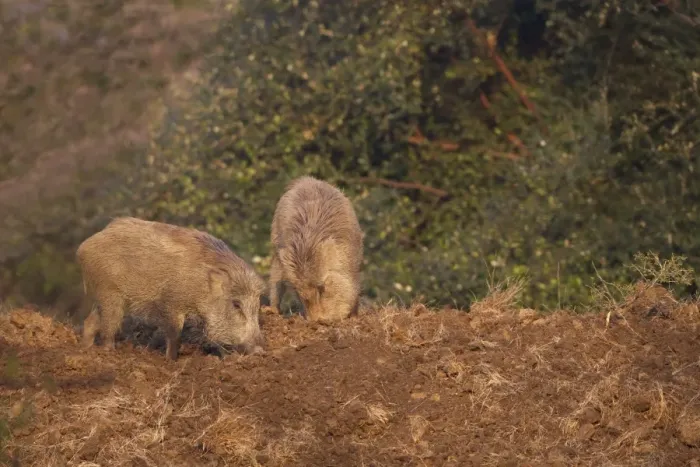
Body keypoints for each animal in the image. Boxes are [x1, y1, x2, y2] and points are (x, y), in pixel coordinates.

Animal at [77, 216, 266, 360]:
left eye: (257, 307)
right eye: (236, 304)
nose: (259, 350)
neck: (201, 286)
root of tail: (84, 247)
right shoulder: (171, 303)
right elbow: (175, 334)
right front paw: (171, 360)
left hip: (102, 296)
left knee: (90, 322)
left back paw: (86, 349)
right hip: (110, 293)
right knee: (108, 327)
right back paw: (108, 352)